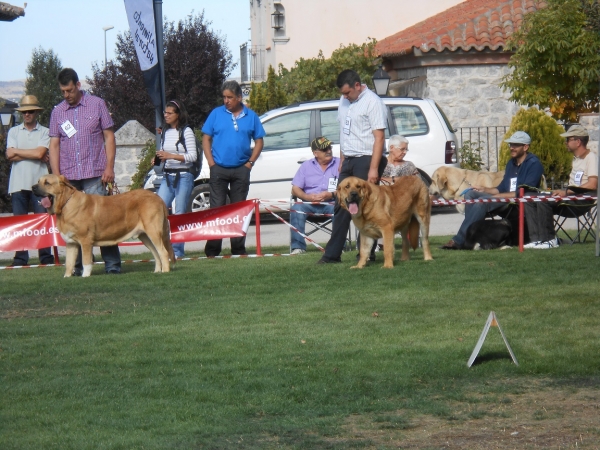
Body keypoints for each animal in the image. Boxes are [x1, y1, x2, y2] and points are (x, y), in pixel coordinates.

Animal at [32, 174, 175, 276]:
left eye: (47, 183)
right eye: (38, 181)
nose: (33, 187)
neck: (66, 204)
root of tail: (158, 198)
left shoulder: (85, 241)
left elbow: (86, 262)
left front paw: (85, 276)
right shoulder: (71, 244)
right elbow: (69, 263)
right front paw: (67, 277)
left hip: (153, 231)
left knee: (163, 252)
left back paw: (165, 272)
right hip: (144, 235)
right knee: (156, 253)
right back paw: (157, 271)